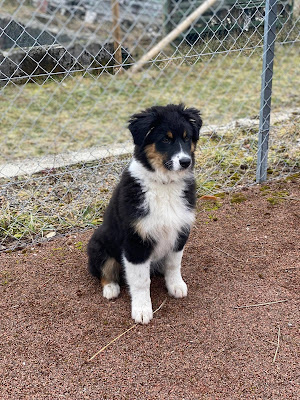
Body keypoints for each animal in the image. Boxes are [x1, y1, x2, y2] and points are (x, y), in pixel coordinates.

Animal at [88, 104, 203, 324]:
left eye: (187, 138)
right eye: (166, 139)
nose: (185, 161)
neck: (164, 184)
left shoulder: (180, 231)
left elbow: (174, 264)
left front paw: (176, 286)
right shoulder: (135, 242)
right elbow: (141, 281)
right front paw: (142, 310)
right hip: (99, 244)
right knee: (104, 270)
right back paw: (111, 288)